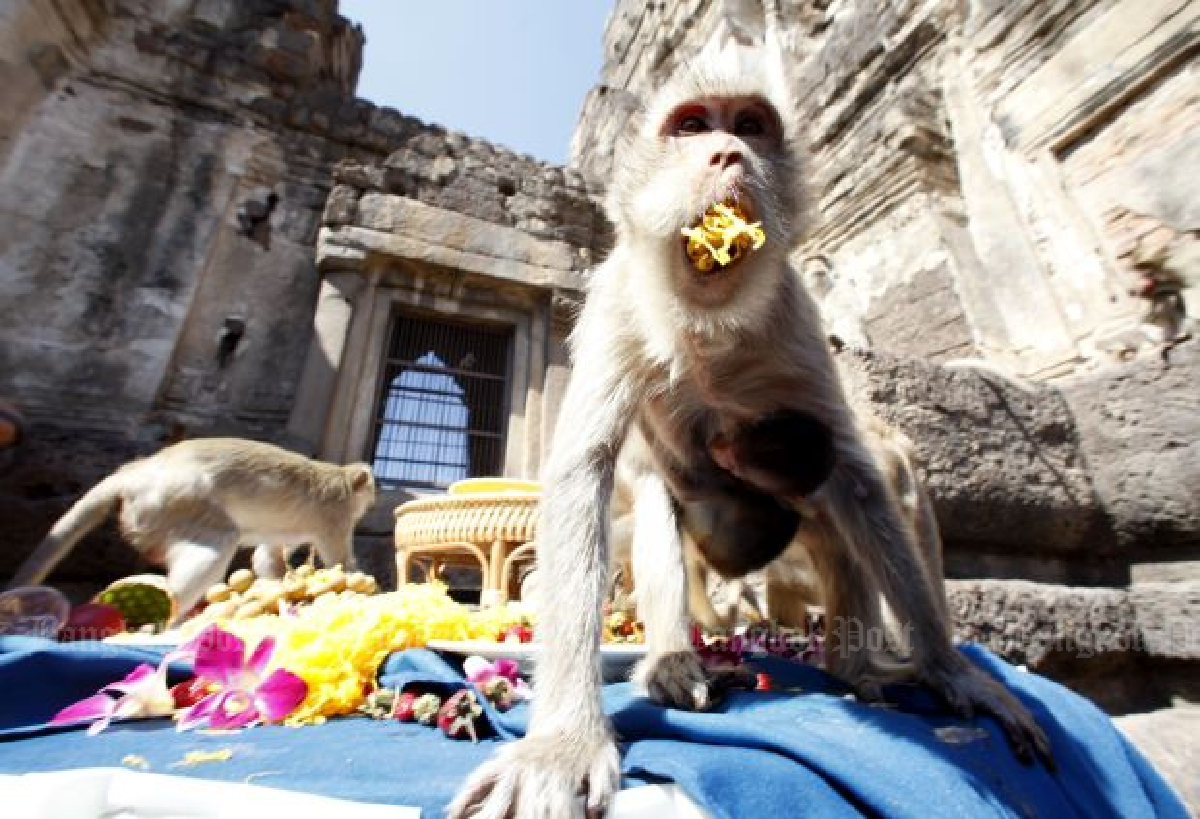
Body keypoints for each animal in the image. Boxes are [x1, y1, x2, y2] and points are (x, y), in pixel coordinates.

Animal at [6, 438, 375, 623]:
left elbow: (267, 558)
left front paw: (281, 586)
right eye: (370, 494)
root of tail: (135, 473)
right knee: (218, 542)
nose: (372, 503)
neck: (339, 477)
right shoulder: (335, 515)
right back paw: (171, 621)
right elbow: (338, 559)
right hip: (173, 505)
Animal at [448, 31, 1049, 819]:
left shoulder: (795, 316)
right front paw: (566, 742)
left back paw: (852, 665)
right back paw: (675, 660)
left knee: (830, 502)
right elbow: (585, 470)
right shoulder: (613, 298)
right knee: (658, 505)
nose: (728, 154)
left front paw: (950, 667)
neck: (706, 322)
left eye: (751, 126)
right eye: (692, 127)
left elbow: (856, 479)